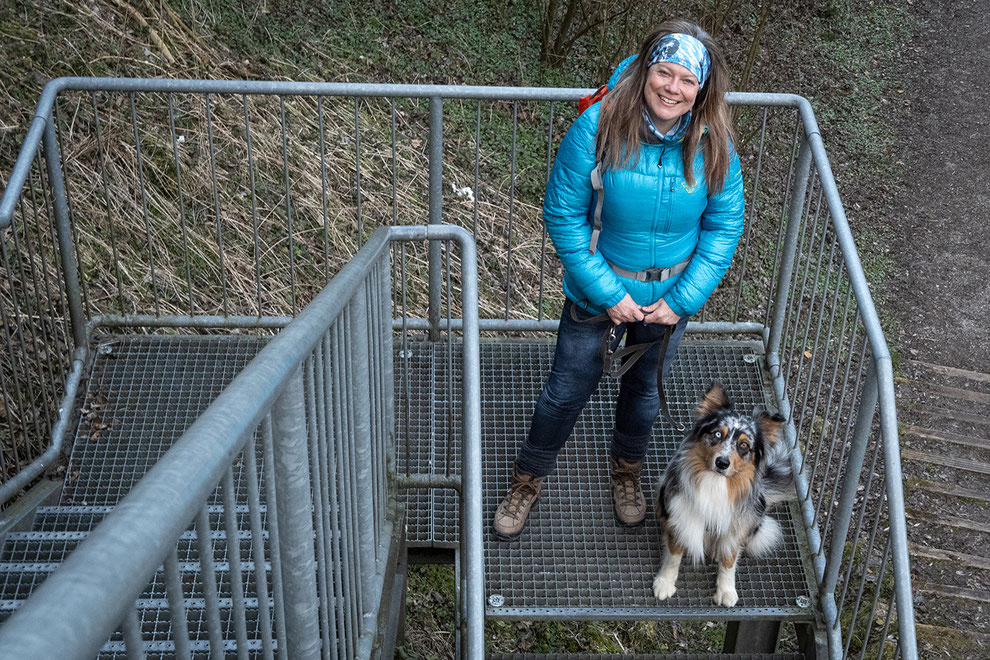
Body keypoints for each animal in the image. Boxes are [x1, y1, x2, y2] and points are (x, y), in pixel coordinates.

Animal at [652, 384, 792, 604]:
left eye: (744, 445)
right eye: (718, 434)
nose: (722, 462)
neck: (714, 483)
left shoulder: (736, 526)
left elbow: (729, 560)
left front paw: (726, 591)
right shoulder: (681, 516)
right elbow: (674, 556)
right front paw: (665, 583)